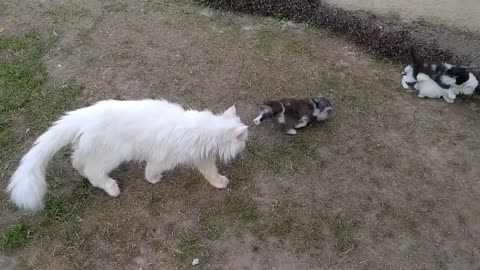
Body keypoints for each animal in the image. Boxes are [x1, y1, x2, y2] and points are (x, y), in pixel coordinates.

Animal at [6, 99, 248, 211]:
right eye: (244, 139)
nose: (247, 144)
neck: (201, 131)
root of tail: (85, 114)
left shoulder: (202, 158)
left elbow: (211, 172)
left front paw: (219, 182)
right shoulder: (161, 157)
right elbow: (151, 171)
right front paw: (153, 180)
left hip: (90, 148)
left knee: (77, 162)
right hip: (111, 155)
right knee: (93, 173)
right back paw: (111, 188)